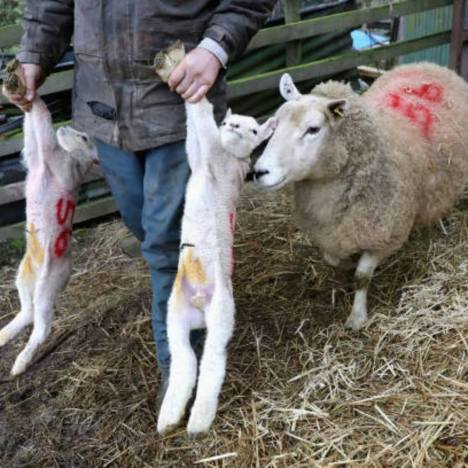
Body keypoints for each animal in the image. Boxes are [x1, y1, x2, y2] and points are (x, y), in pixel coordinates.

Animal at [0, 75, 98, 375]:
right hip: (22, 276)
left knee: (41, 327)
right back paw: (3, 336)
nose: (65, 126)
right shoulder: (34, 156)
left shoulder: (51, 154)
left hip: (47, 289)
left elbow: (41, 120)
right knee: (26, 312)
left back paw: (19, 364)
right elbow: (31, 127)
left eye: (85, 136)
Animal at [154, 42, 276, 435]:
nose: (232, 125)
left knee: (211, 361)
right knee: (184, 360)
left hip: (222, 311)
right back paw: (170, 416)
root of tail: (199, 305)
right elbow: (194, 129)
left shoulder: (210, 152)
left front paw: (181, 65)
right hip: (175, 315)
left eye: (253, 130)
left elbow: (200, 114)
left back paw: (198, 420)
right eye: (231, 123)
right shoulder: (200, 155)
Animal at [254, 62, 468, 331]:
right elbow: (333, 259)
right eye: (275, 124)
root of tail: (431, 65)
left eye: (313, 129)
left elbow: (362, 277)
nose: (259, 172)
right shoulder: (331, 235)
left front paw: (357, 317)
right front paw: (347, 265)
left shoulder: (384, 237)